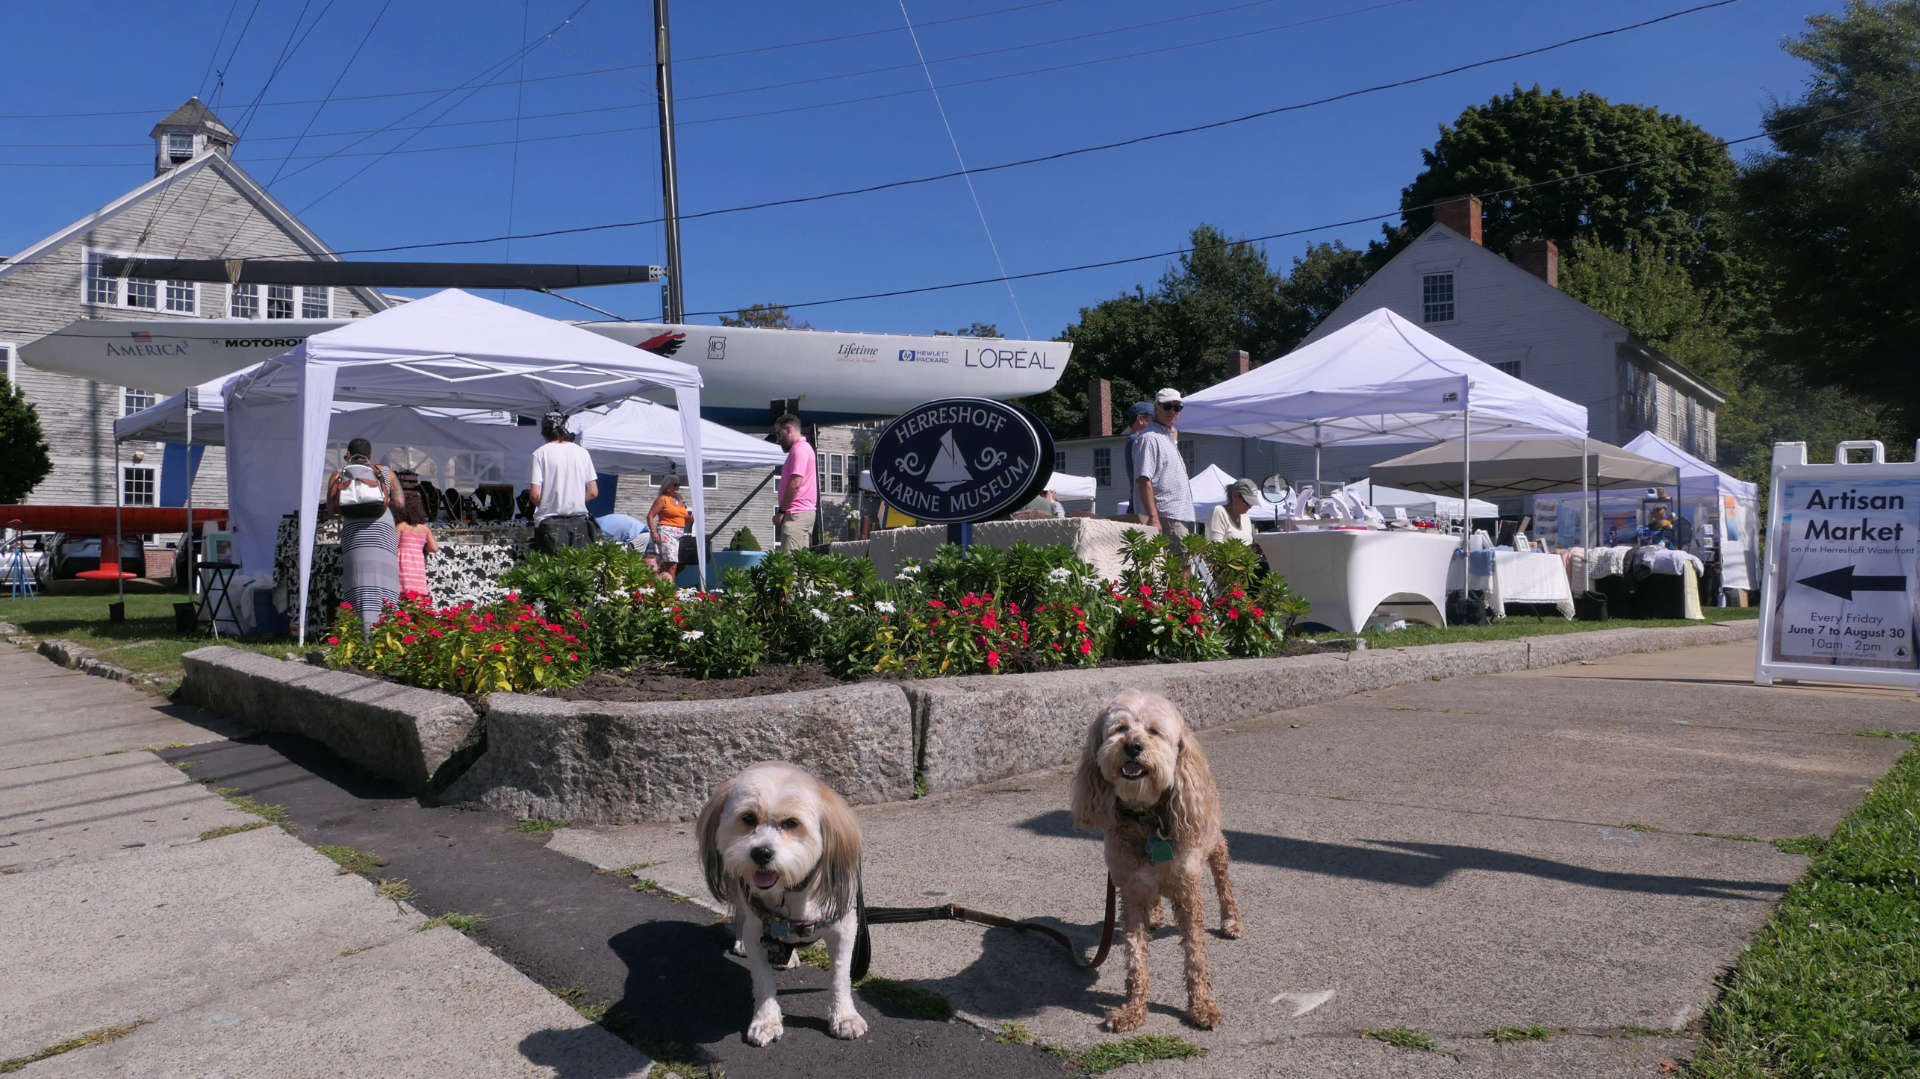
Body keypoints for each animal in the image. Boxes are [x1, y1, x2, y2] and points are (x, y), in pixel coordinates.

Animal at [695, 756, 867, 1044]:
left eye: (791, 823)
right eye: (748, 818)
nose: (761, 853)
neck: (792, 891)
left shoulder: (844, 929)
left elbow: (840, 977)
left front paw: (844, 1016)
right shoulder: (757, 931)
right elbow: (763, 981)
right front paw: (766, 1020)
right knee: (741, 914)